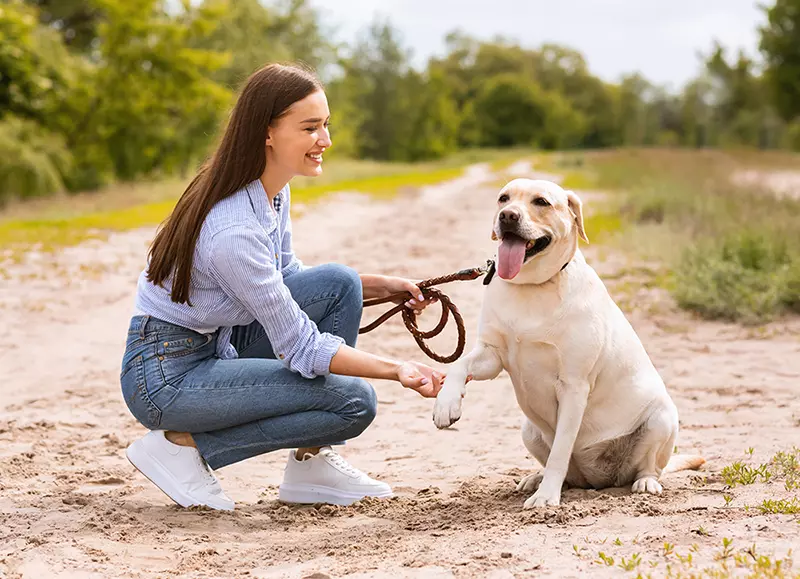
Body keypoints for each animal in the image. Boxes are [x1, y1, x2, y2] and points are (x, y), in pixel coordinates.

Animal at [434, 180, 704, 508]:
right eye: (503, 198)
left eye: (541, 202)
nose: (508, 216)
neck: (532, 286)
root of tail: (599, 480)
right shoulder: (492, 355)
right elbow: (459, 364)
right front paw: (446, 404)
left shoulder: (573, 386)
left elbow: (561, 451)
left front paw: (545, 498)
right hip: (529, 430)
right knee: (565, 472)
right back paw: (536, 478)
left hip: (662, 419)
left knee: (649, 466)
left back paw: (645, 482)